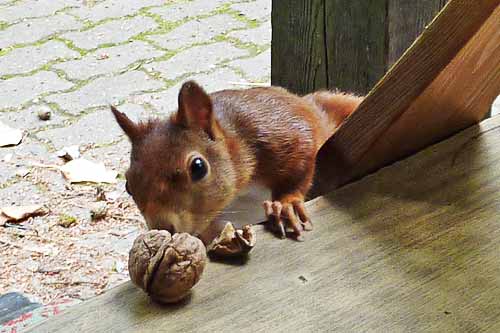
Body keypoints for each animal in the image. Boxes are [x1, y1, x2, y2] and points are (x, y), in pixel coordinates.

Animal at [111, 80, 362, 241]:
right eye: (128, 185)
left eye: (198, 167)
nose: (164, 228)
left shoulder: (279, 129)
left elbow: (301, 160)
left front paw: (286, 204)